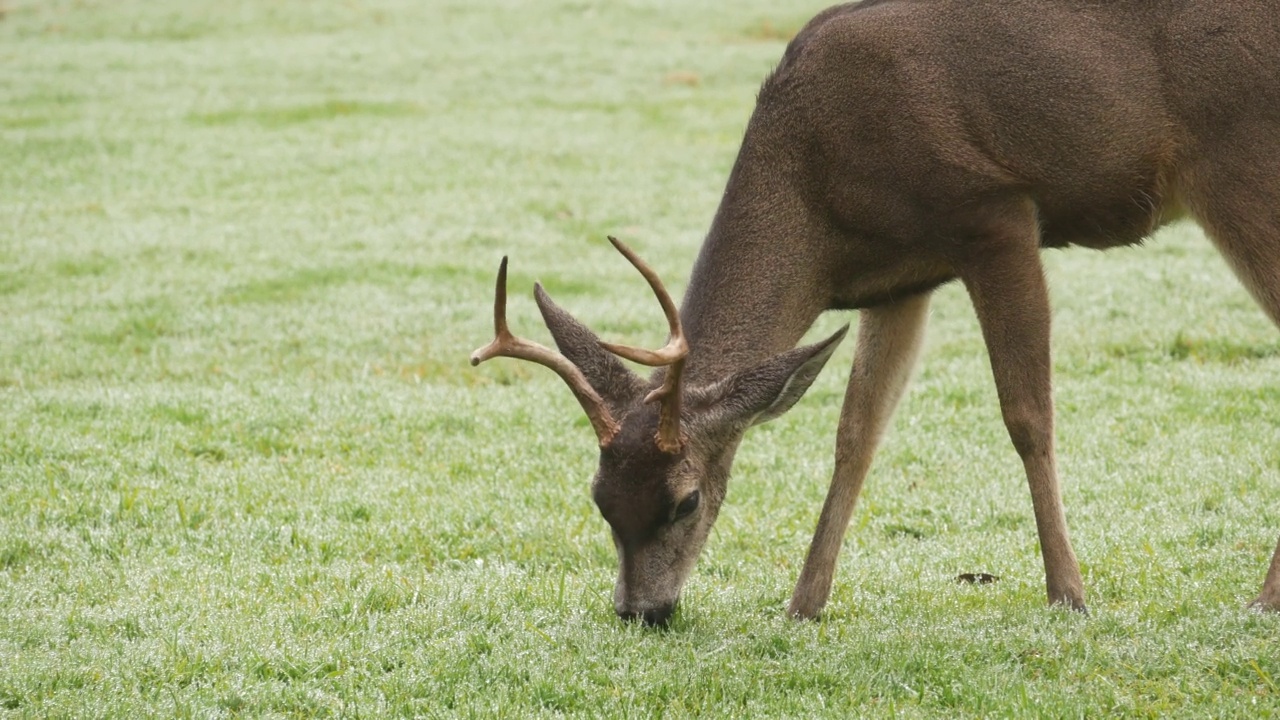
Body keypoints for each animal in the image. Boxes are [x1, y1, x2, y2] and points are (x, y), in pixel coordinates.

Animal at [471, 0, 1280, 622]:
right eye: (600, 500)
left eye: (686, 501)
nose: (641, 611)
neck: (817, 199)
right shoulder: (899, 282)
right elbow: (857, 434)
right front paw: (804, 604)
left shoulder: (996, 215)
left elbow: (1027, 416)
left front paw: (1069, 595)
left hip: (1238, 161)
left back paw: (1262, 598)